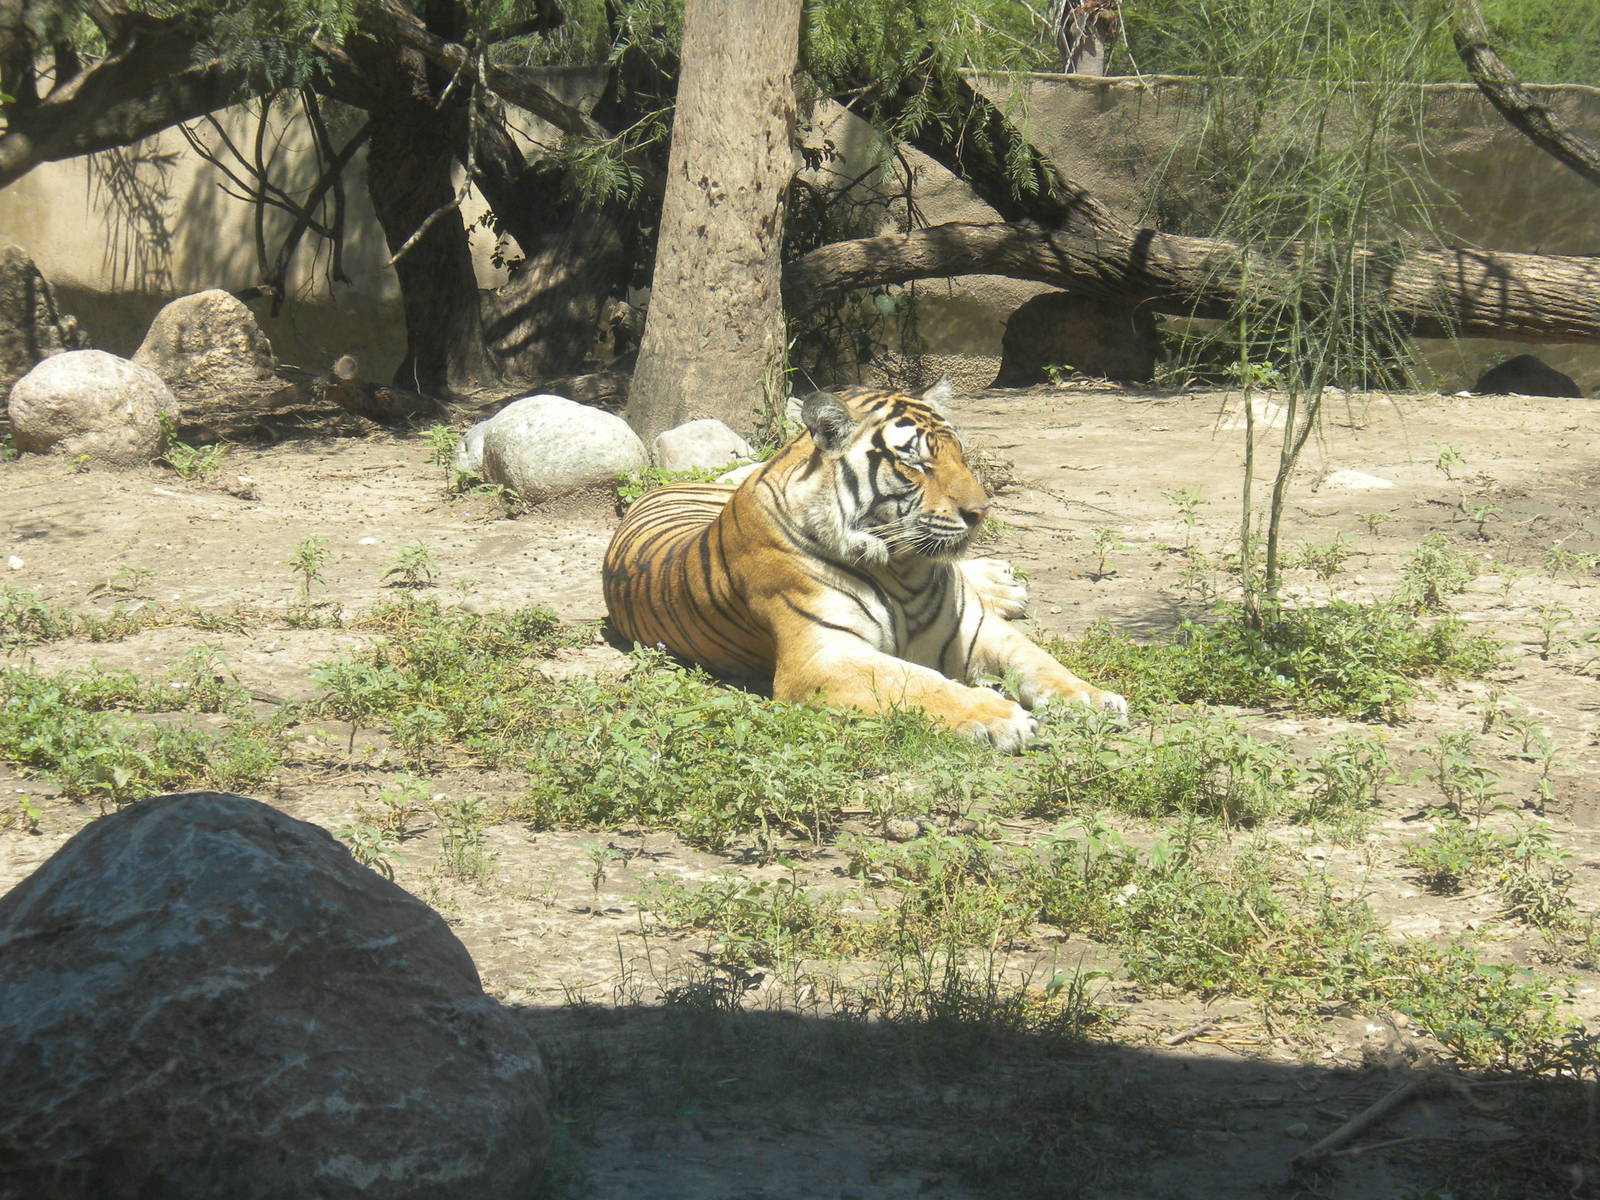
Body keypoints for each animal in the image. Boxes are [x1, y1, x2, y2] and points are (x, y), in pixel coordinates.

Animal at [602, 382, 1126, 751]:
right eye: (917, 464)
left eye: (960, 455)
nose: (980, 512)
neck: (905, 569)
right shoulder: (825, 656)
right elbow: (918, 681)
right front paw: (997, 717)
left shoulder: (974, 628)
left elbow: (1038, 661)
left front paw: (1092, 698)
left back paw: (1003, 583)